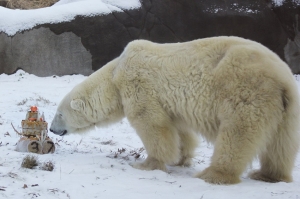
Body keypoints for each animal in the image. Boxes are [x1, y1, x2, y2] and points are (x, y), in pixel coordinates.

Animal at [50, 36, 298, 184]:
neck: (114, 75)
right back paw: (268, 175)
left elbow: (151, 123)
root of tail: (282, 78)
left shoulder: (138, 84)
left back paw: (213, 174)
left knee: (237, 134)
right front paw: (180, 158)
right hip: (285, 107)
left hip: (245, 91)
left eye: (59, 113)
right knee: (281, 143)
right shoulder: (171, 104)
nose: (52, 129)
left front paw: (147, 164)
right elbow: (179, 129)